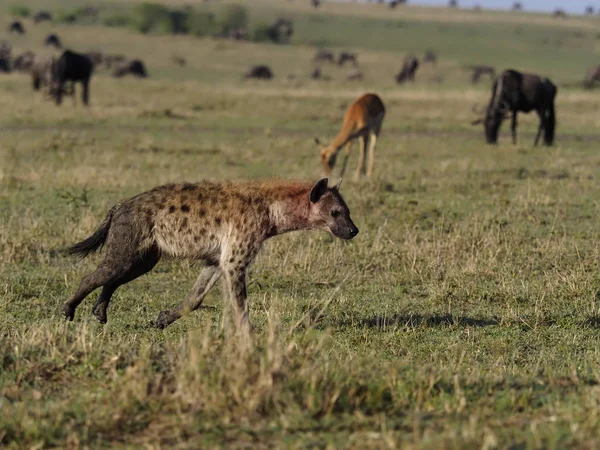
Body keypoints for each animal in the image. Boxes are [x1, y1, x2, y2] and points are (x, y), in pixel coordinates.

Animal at [63, 178, 358, 330]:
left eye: (347, 211)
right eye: (335, 213)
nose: (354, 230)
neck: (272, 210)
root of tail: (120, 204)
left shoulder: (217, 260)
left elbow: (196, 296)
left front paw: (162, 319)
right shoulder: (234, 258)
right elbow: (240, 303)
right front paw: (248, 335)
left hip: (144, 258)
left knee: (113, 277)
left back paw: (100, 313)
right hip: (129, 245)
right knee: (97, 274)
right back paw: (68, 310)